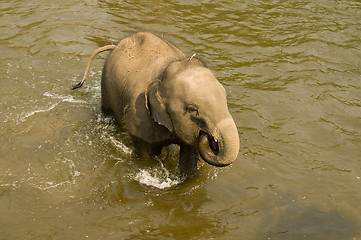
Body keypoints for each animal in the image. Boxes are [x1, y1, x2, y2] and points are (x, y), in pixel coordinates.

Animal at [73, 31, 239, 176]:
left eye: (225, 99)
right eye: (192, 109)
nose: (210, 138)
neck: (166, 72)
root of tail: (116, 45)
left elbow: (189, 158)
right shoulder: (139, 116)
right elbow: (147, 155)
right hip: (106, 85)